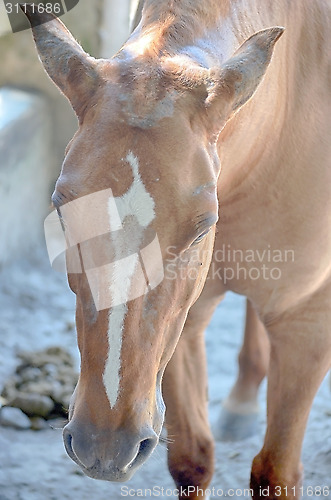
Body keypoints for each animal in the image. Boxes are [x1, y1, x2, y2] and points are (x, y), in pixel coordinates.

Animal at [23, 0, 331, 498]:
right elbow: (192, 461)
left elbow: (276, 473)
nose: (104, 446)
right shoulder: (186, 318)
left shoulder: (307, 321)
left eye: (202, 227)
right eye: (62, 210)